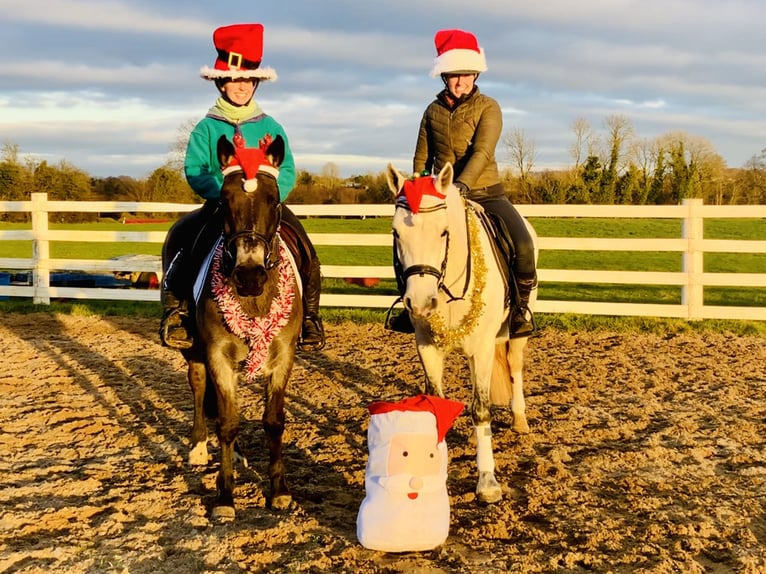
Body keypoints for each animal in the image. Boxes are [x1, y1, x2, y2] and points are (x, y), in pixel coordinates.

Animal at [171, 135, 304, 520]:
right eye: (224, 200)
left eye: (273, 199)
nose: (249, 276)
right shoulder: (217, 355)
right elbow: (227, 422)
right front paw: (225, 496)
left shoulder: (283, 356)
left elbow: (273, 421)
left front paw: (279, 491)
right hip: (194, 352)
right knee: (200, 388)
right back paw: (200, 447)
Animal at [384, 161, 540, 504]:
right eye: (396, 233)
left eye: (443, 231)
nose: (420, 302)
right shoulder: (426, 347)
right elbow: (437, 405)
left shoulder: (481, 349)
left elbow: (481, 409)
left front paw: (488, 482)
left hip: (515, 334)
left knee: (515, 367)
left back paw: (519, 418)